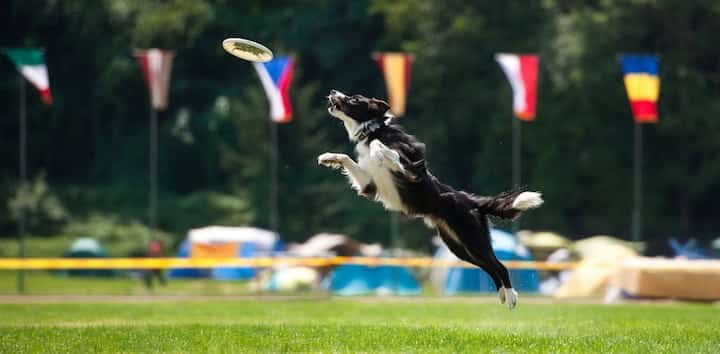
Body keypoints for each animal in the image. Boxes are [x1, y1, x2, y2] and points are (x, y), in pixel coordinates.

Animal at [318, 90, 544, 308]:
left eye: (355, 99)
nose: (332, 91)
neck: (374, 129)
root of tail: (470, 200)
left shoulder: (412, 169)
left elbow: (381, 148)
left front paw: (378, 151)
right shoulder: (370, 184)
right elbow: (347, 158)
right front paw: (328, 157)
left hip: (473, 238)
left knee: (499, 265)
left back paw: (512, 297)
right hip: (458, 246)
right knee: (488, 266)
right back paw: (503, 295)